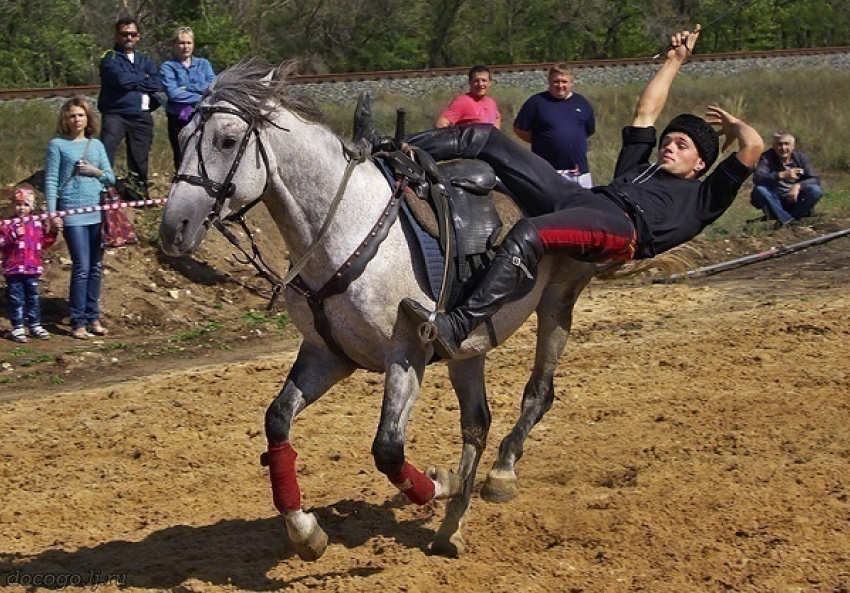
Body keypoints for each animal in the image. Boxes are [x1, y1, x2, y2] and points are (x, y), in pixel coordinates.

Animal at [159, 60, 596, 560]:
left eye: (228, 141)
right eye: (183, 135)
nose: (174, 228)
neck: (345, 227)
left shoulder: (406, 354)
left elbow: (388, 449)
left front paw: (439, 482)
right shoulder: (327, 355)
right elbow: (278, 421)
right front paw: (305, 531)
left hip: (558, 299)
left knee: (537, 394)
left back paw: (497, 475)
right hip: (469, 345)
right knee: (476, 423)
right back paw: (452, 525)